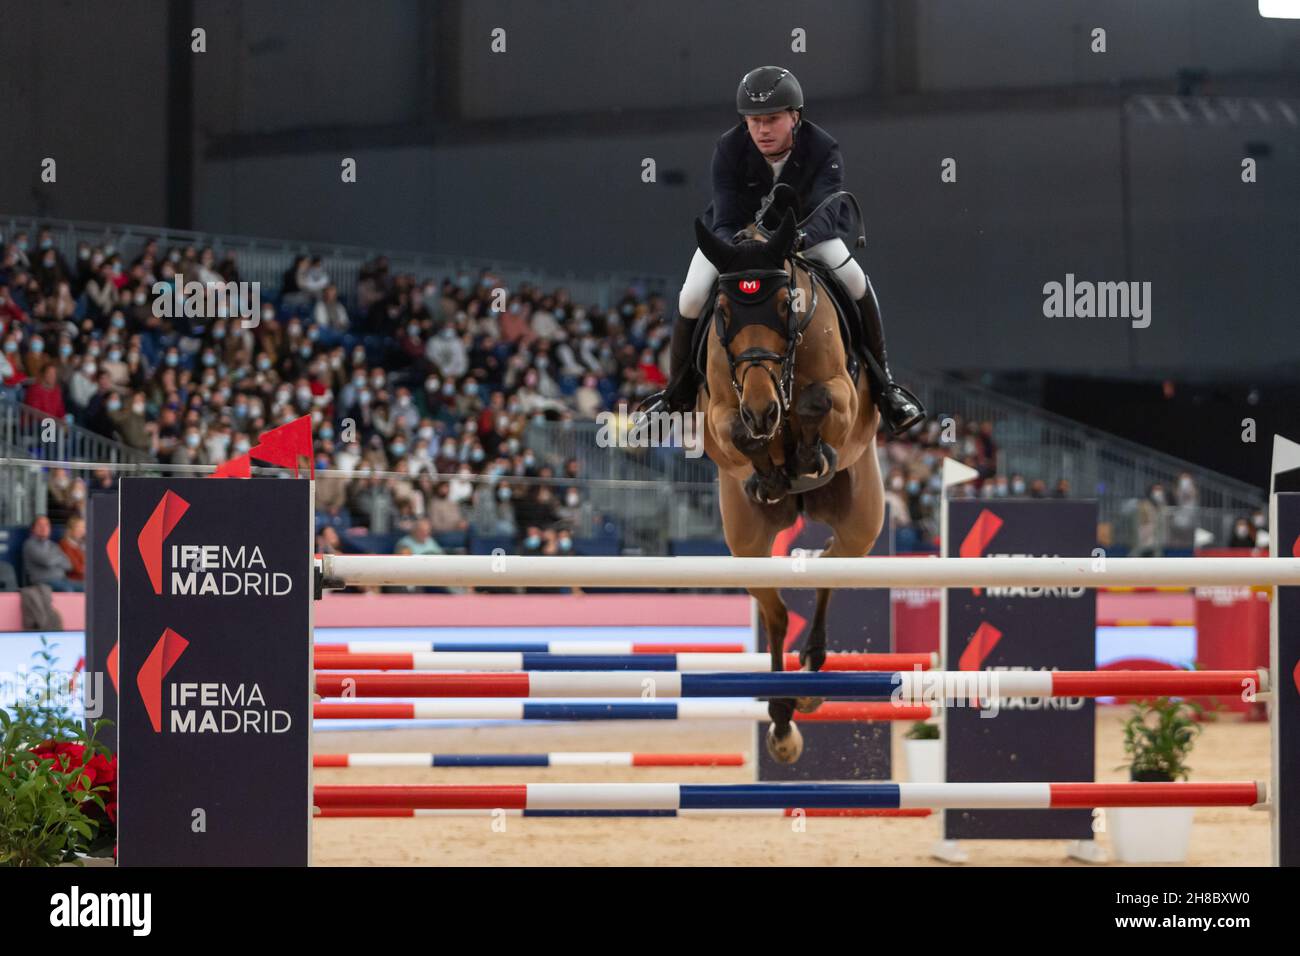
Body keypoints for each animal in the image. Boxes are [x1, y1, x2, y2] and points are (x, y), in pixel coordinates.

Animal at [696, 213, 889, 764]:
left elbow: (816, 401)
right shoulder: (720, 414)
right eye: (722, 312)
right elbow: (740, 433)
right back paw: (783, 718)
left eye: (787, 305)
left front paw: (804, 453)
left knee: (830, 568)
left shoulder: (843, 396)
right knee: (777, 614)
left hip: (862, 520)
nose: (763, 409)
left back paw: (810, 674)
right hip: (747, 543)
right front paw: (770, 467)